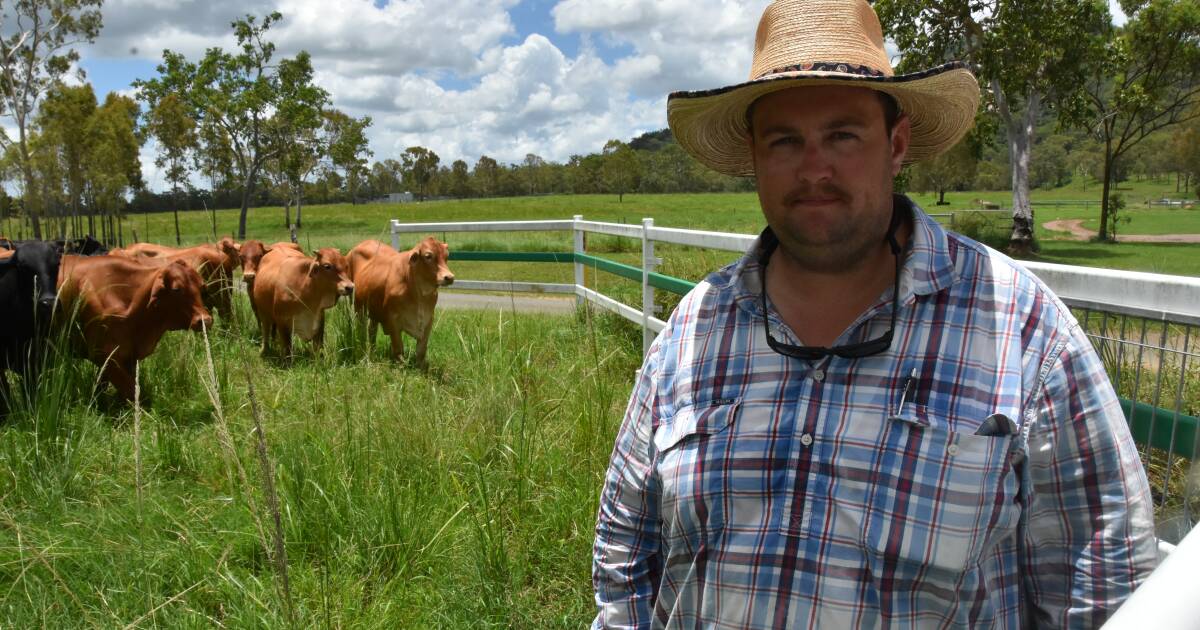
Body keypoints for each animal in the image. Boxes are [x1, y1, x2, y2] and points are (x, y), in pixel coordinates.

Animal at [57, 254, 213, 398]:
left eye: (201, 287)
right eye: (176, 289)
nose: (205, 320)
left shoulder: (127, 357)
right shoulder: (104, 354)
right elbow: (131, 391)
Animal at [350, 235, 458, 364]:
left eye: (446, 256)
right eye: (428, 256)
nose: (449, 277)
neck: (419, 295)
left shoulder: (428, 319)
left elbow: (421, 350)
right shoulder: (393, 320)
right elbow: (398, 349)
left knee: (372, 330)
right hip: (358, 308)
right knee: (361, 330)